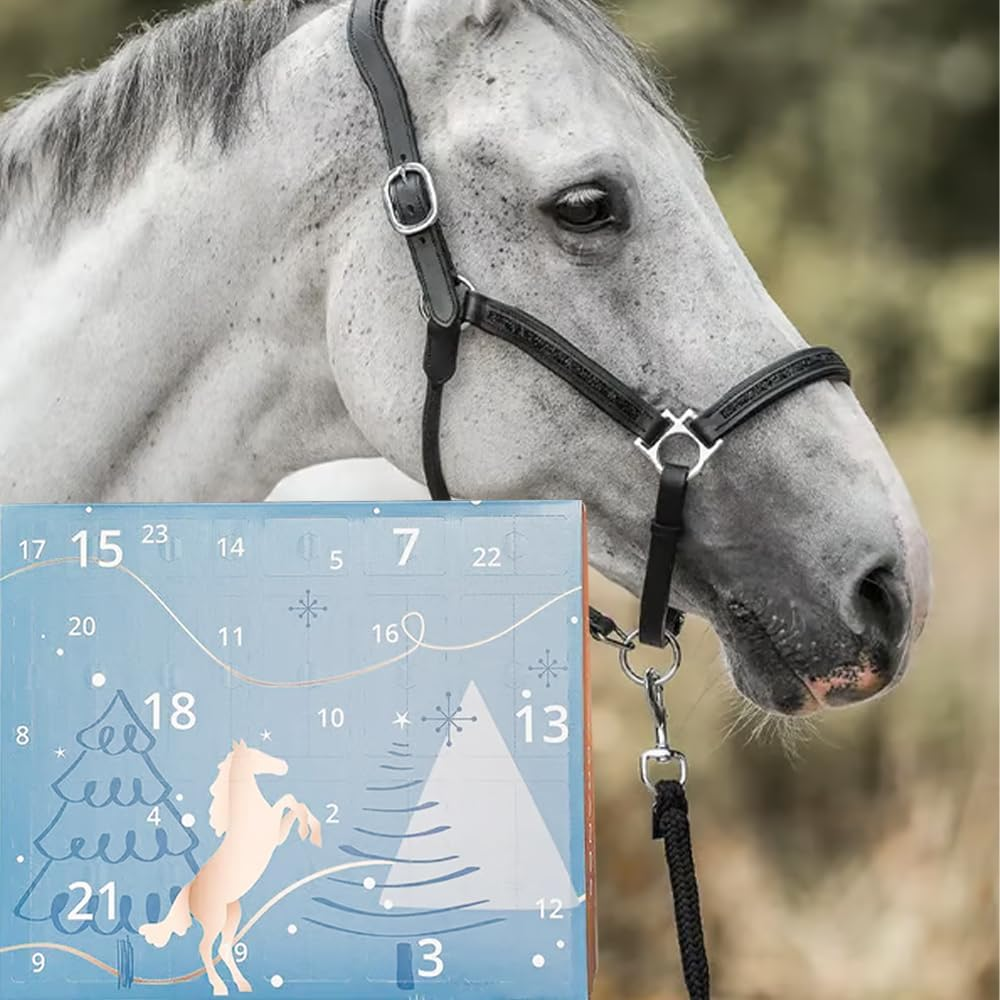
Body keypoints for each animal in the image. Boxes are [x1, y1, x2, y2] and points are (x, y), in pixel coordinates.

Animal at [138, 740, 321, 996]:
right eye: (257, 754)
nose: (283, 765)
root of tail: (190, 889)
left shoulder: (277, 836)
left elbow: (294, 803)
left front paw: (313, 833)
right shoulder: (273, 831)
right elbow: (288, 800)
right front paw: (308, 831)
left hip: (232, 915)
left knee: (224, 948)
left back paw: (242, 984)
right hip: (214, 919)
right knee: (205, 948)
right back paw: (219, 987)